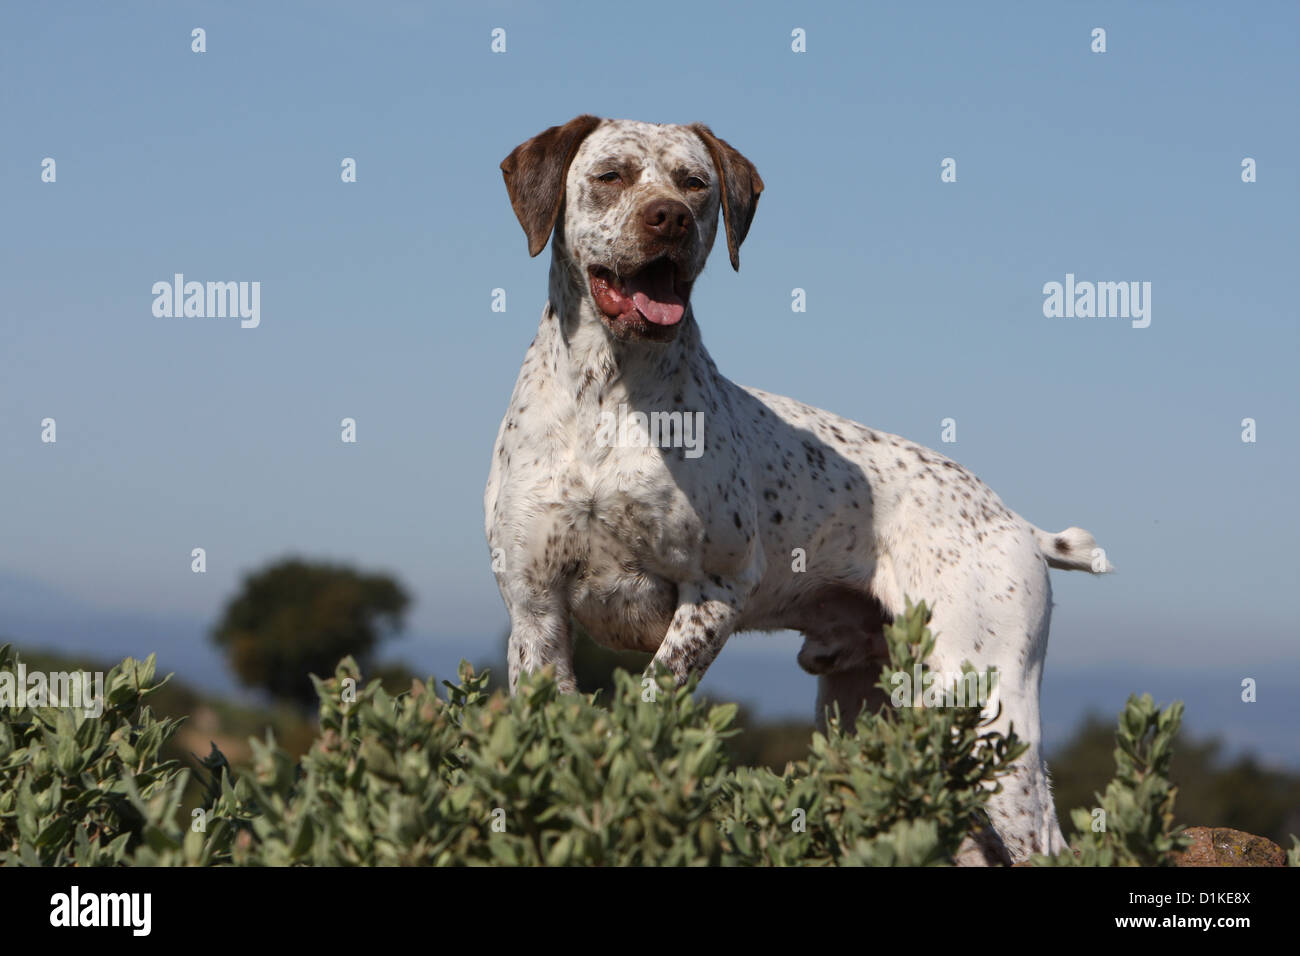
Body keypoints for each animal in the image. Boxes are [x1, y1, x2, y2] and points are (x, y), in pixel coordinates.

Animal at [483, 115, 1112, 863]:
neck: (608, 396)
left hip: (986, 710)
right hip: (873, 714)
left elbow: (651, 701)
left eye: (695, 184)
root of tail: (1018, 523)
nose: (669, 218)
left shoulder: (714, 594)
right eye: (610, 175)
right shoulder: (536, 609)